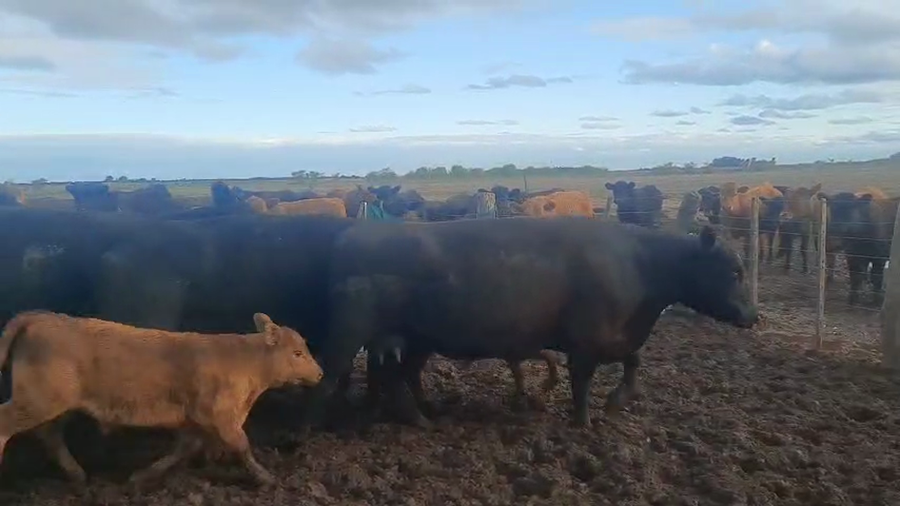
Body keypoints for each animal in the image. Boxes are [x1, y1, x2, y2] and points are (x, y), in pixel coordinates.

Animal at [0, 311, 323, 486]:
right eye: (297, 353)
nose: (319, 374)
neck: (247, 364)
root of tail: (41, 316)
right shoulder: (219, 416)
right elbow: (241, 446)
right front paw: (266, 478)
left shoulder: (196, 421)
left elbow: (184, 448)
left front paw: (142, 476)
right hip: (38, 399)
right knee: (8, 423)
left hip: (54, 403)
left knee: (50, 434)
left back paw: (77, 474)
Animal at [306, 218, 758, 429]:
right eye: (734, 270)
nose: (754, 316)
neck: (639, 263)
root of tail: (353, 233)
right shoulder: (586, 343)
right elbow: (582, 382)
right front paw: (584, 420)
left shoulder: (613, 338)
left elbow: (634, 362)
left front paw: (617, 401)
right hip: (357, 337)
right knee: (339, 378)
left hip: (411, 340)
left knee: (399, 377)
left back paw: (422, 414)